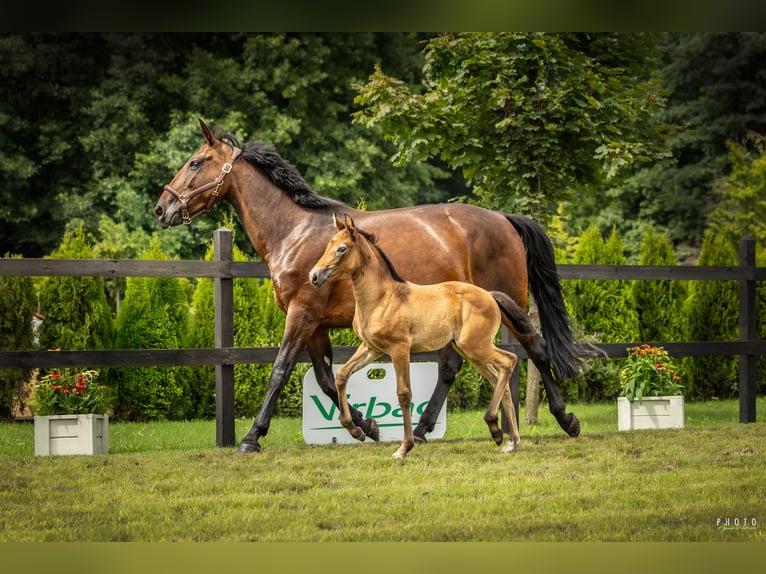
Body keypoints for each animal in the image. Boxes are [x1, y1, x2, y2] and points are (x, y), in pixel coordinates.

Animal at [310, 214, 527, 459]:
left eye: (342, 249)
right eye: (328, 245)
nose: (314, 276)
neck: (381, 298)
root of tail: (490, 295)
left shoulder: (399, 348)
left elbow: (404, 394)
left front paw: (404, 447)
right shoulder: (371, 348)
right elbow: (341, 375)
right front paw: (356, 431)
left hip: (476, 346)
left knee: (510, 360)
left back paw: (496, 428)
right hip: (470, 351)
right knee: (499, 379)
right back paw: (510, 440)